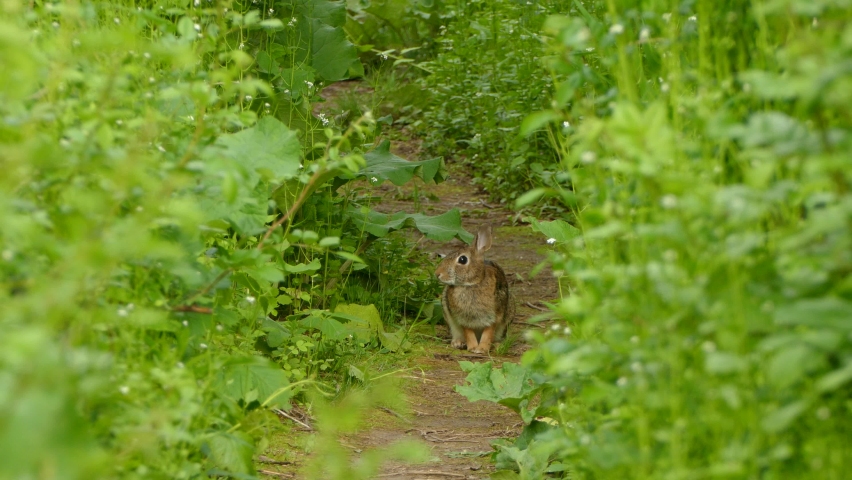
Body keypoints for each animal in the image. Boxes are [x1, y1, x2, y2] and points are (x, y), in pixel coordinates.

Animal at [435, 225, 514, 354]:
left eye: (462, 260)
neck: (472, 283)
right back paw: (458, 343)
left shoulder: (494, 316)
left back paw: (497, 345)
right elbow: (468, 333)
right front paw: (472, 347)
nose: (437, 274)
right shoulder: (463, 318)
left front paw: (481, 349)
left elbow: (488, 333)